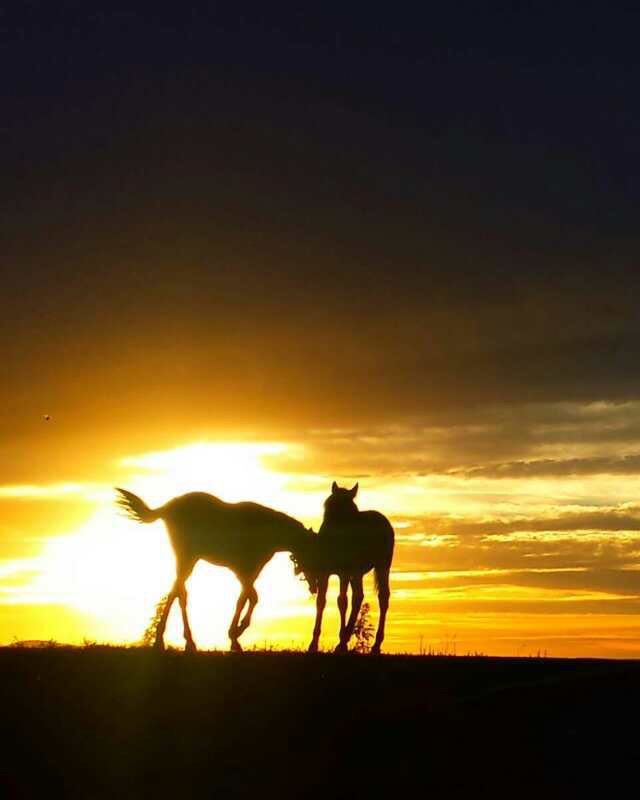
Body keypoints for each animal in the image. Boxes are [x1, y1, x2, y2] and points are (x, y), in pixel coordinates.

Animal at [115, 488, 318, 648]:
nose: (314, 587)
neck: (267, 531)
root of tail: (168, 507)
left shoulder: (248, 573)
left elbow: (246, 599)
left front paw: (235, 634)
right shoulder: (243, 572)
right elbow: (250, 598)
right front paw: (235, 633)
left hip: (188, 560)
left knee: (177, 592)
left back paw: (173, 640)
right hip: (186, 558)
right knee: (179, 593)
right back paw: (177, 641)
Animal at [300, 482, 396, 656]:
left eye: (350, 508)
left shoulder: (344, 572)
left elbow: (341, 601)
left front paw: (341, 643)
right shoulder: (328, 573)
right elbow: (324, 601)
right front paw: (314, 643)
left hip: (381, 566)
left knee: (378, 597)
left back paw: (372, 644)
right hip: (359, 572)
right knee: (362, 597)